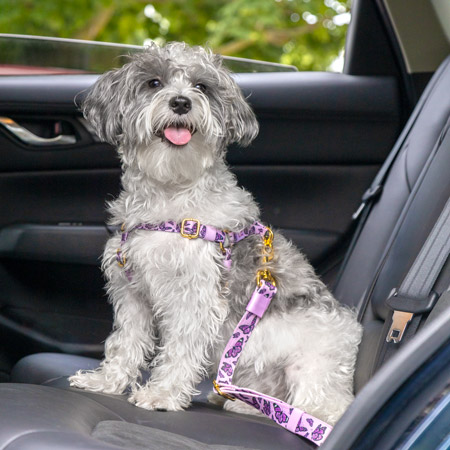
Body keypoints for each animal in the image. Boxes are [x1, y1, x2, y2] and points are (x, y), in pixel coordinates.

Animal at [71, 42, 366, 426]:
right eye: (153, 82)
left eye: (202, 86)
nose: (181, 102)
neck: (171, 195)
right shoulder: (131, 293)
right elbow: (125, 343)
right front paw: (105, 382)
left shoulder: (195, 295)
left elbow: (180, 348)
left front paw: (162, 394)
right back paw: (243, 403)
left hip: (313, 367)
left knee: (321, 406)